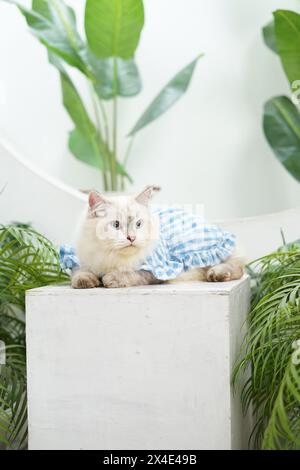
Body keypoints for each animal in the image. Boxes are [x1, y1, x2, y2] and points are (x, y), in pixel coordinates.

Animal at [71, 185, 245, 288]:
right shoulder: (84, 262)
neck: (111, 258)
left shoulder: (155, 271)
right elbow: (79, 273)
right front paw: (87, 281)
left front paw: (109, 279)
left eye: (139, 224)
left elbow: (130, 275)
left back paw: (216, 275)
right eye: (116, 225)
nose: (131, 238)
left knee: (237, 268)